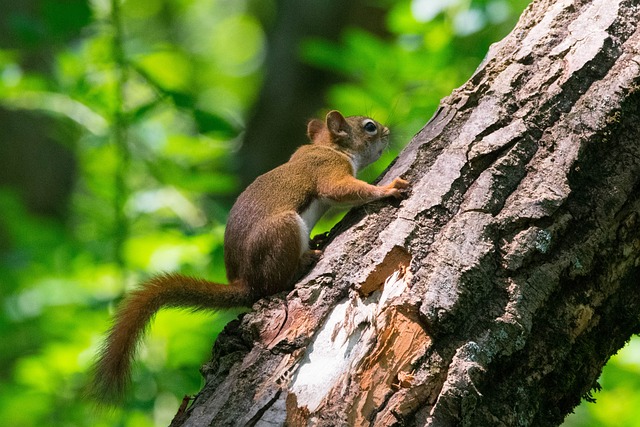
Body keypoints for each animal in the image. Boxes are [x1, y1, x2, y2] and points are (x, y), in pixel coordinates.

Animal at [90, 109, 410, 402]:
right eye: (369, 127)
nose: (387, 132)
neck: (329, 147)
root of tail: (246, 282)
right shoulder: (328, 169)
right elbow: (341, 190)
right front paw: (388, 189)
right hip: (282, 231)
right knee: (276, 282)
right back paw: (305, 260)